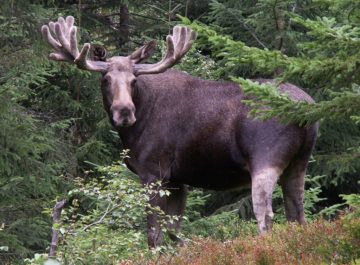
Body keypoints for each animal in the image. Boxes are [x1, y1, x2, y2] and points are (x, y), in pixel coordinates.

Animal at [41, 16, 318, 248]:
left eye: (133, 81)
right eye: (106, 79)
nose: (124, 112)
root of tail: (307, 112)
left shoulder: (153, 171)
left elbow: (153, 233)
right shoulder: (177, 179)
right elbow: (174, 232)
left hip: (265, 158)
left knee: (266, 215)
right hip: (299, 163)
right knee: (298, 213)